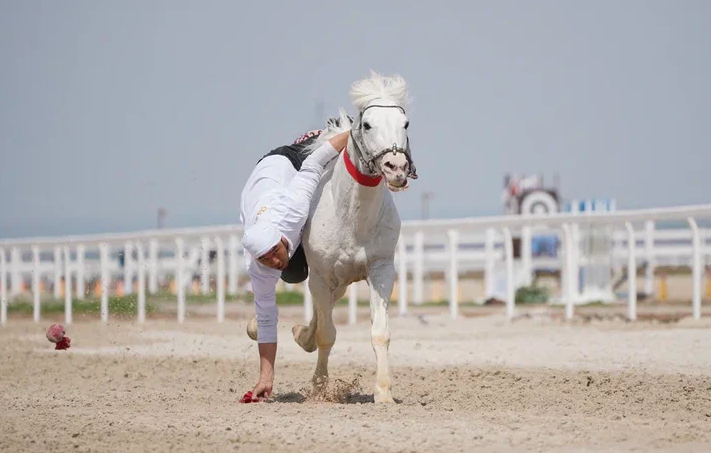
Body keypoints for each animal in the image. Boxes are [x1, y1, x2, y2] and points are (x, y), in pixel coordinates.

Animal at [292, 71, 418, 402]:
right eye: (367, 124)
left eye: (405, 123)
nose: (396, 168)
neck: (352, 220)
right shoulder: (320, 276)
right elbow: (327, 334)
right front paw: (319, 389)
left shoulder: (381, 270)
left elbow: (380, 333)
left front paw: (384, 392)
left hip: (341, 283)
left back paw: (302, 335)